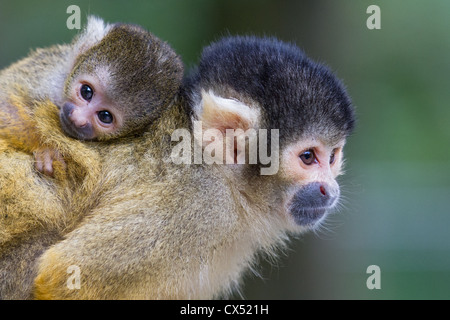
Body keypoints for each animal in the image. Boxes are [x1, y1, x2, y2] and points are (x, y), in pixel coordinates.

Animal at [0, 15, 183, 175]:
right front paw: (44, 146)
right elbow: (4, 97)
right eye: (86, 92)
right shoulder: (53, 76)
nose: (78, 118)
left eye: (105, 116)